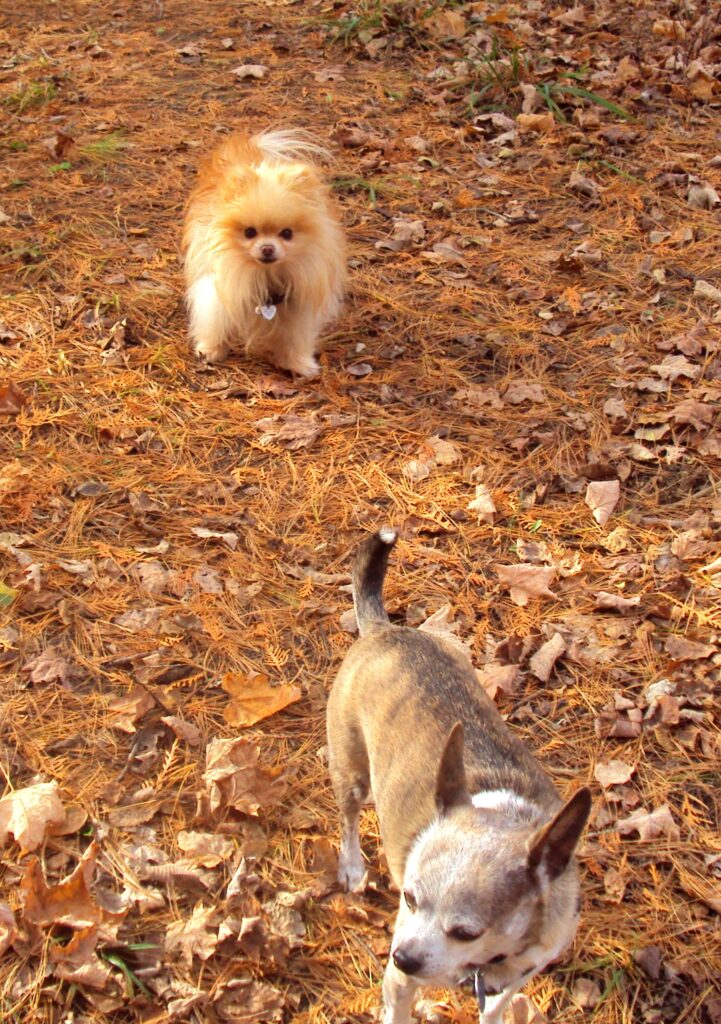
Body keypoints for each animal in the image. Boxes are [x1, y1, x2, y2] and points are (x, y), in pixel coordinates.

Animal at [183, 130, 346, 378]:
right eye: (250, 232)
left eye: (287, 233)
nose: (267, 248)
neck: (266, 275)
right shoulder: (219, 292)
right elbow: (215, 324)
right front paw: (211, 350)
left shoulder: (298, 307)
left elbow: (294, 338)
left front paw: (299, 364)